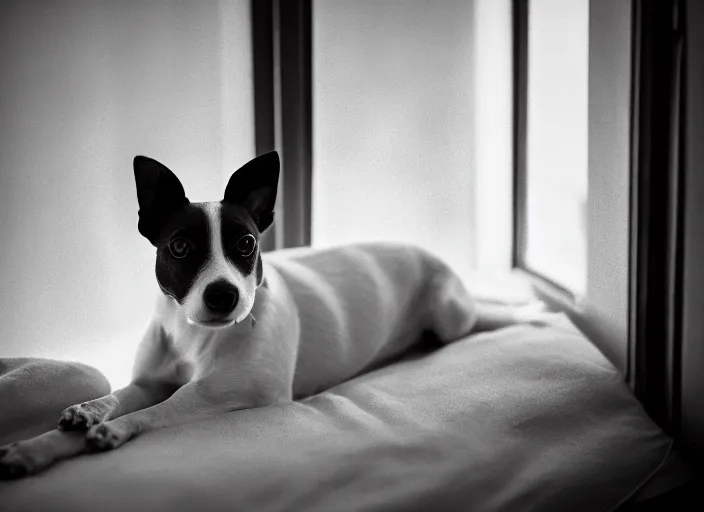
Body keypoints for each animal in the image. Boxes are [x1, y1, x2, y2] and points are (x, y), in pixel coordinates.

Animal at [0, 150, 544, 478]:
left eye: (246, 244)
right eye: (180, 246)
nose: (224, 296)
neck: (195, 336)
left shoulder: (236, 393)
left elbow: (161, 409)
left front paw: (112, 430)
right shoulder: (151, 378)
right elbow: (118, 397)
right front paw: (56, 433)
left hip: (451, 313)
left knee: (470, 321)